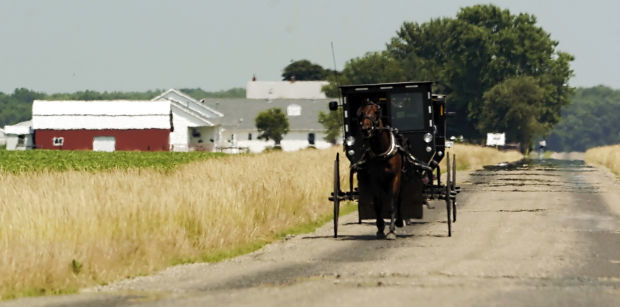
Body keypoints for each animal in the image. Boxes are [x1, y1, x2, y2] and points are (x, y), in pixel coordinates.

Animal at [356, 101, 404, 241]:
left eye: (376, 112)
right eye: (361, 113)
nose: (366, 129)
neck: (382, 151)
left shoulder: (395, 177)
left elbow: (393, 203)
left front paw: (392, 230)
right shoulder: (375, 179)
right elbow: (378, 204)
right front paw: (380, 228)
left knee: (399, 198)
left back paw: (399, 221)